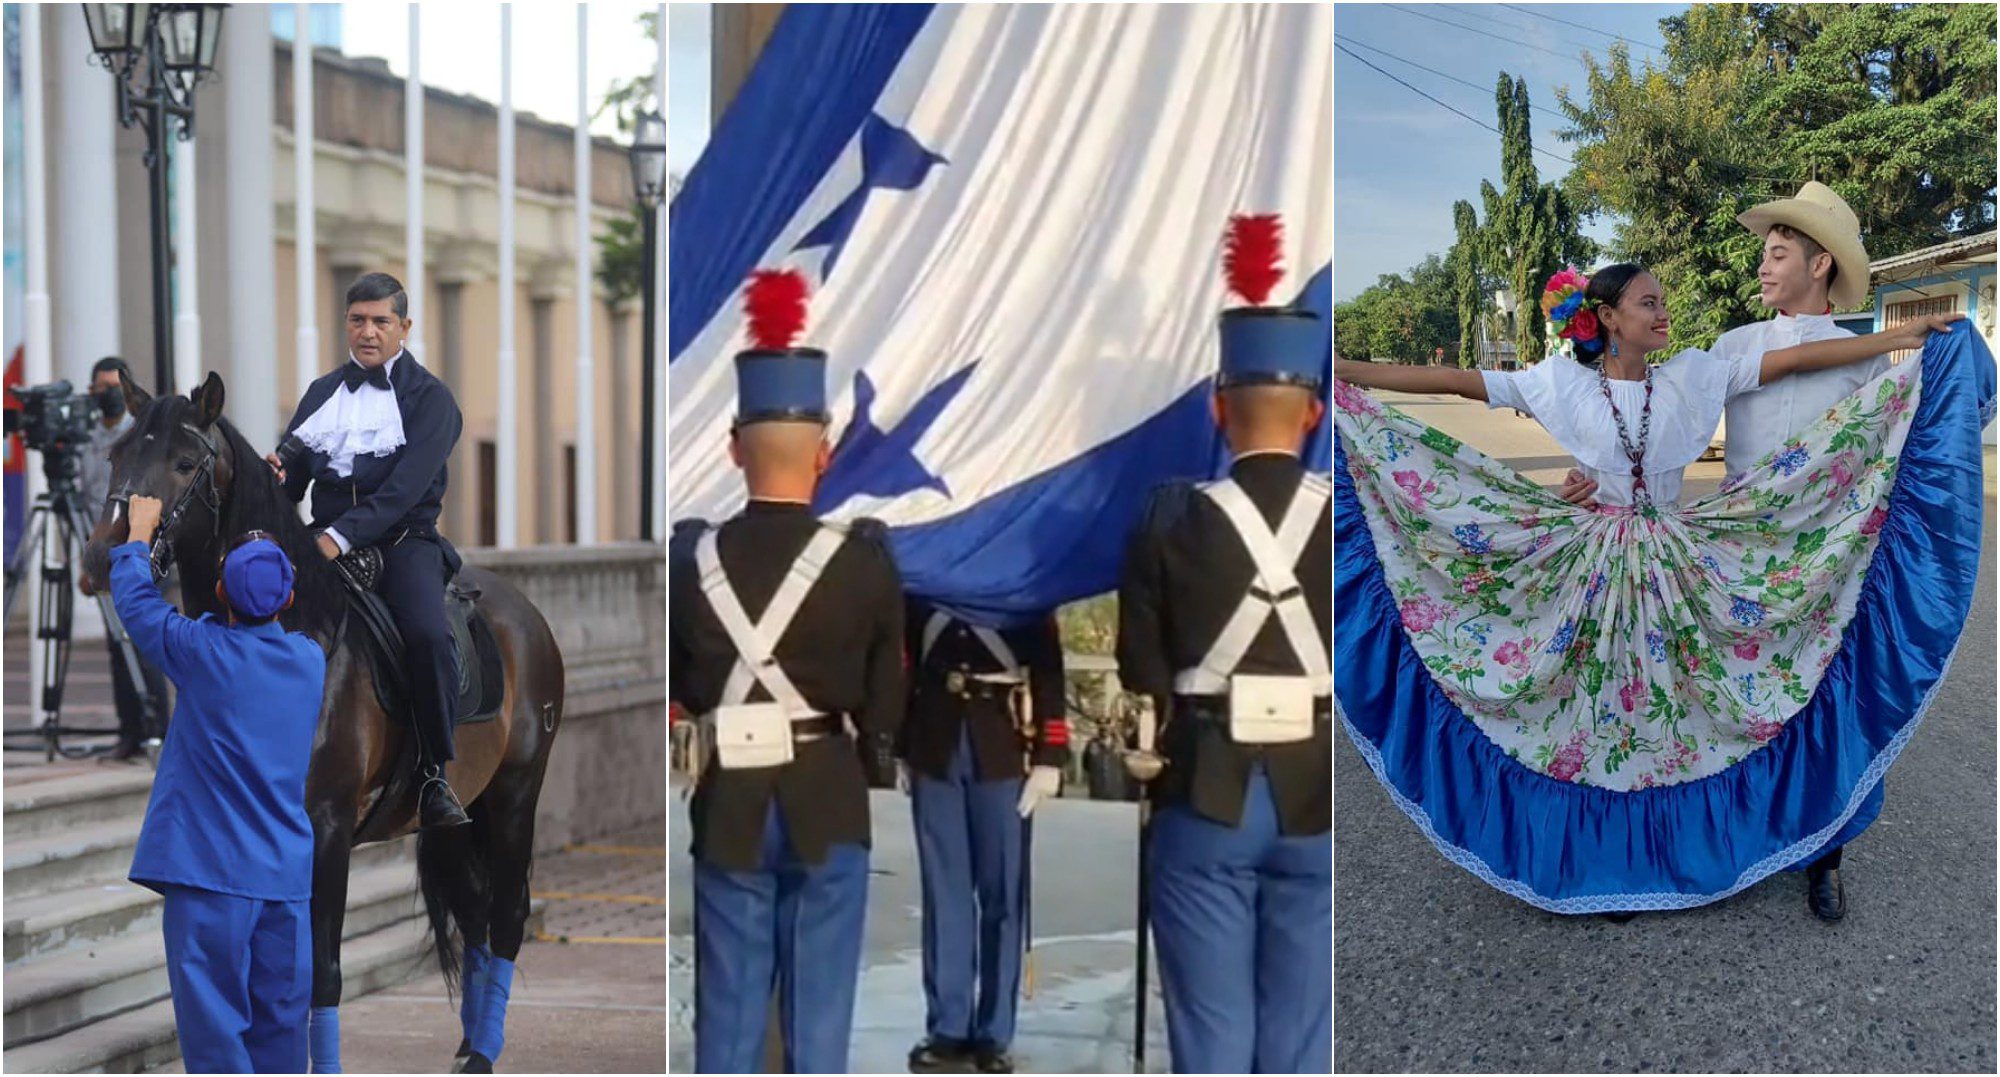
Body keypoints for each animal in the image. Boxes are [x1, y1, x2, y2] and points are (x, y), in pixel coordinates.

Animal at [83, 370, 568, 1064]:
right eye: (118, 453)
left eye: (184, 462)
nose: (102, 557)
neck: (297, 628)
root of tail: (525, 616)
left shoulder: (328, 829)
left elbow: (322, 973)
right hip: (460, 812)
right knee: (474, 913)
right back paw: (470, 1043)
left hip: (514, 795)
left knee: (505, 917)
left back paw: (482, 1049)